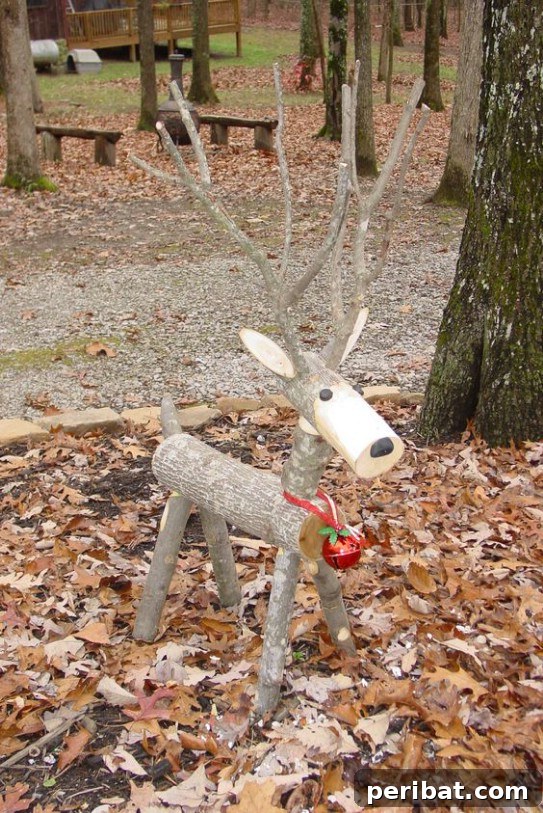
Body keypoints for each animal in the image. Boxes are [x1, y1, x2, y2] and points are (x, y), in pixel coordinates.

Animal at [131, 67, 428, 717]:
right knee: (163, 556)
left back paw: (226, 599)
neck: (302, 506)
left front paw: (348, 654)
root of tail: (172, 436)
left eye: (357, 386)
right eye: (323, 398)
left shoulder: (316, 555)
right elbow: (278, 626)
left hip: (203, 500)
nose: (382, 448)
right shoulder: (291, 553)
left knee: (217, 543)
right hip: (176, 495)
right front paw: (264, 705)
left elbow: (336, 605)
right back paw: (144, 631)